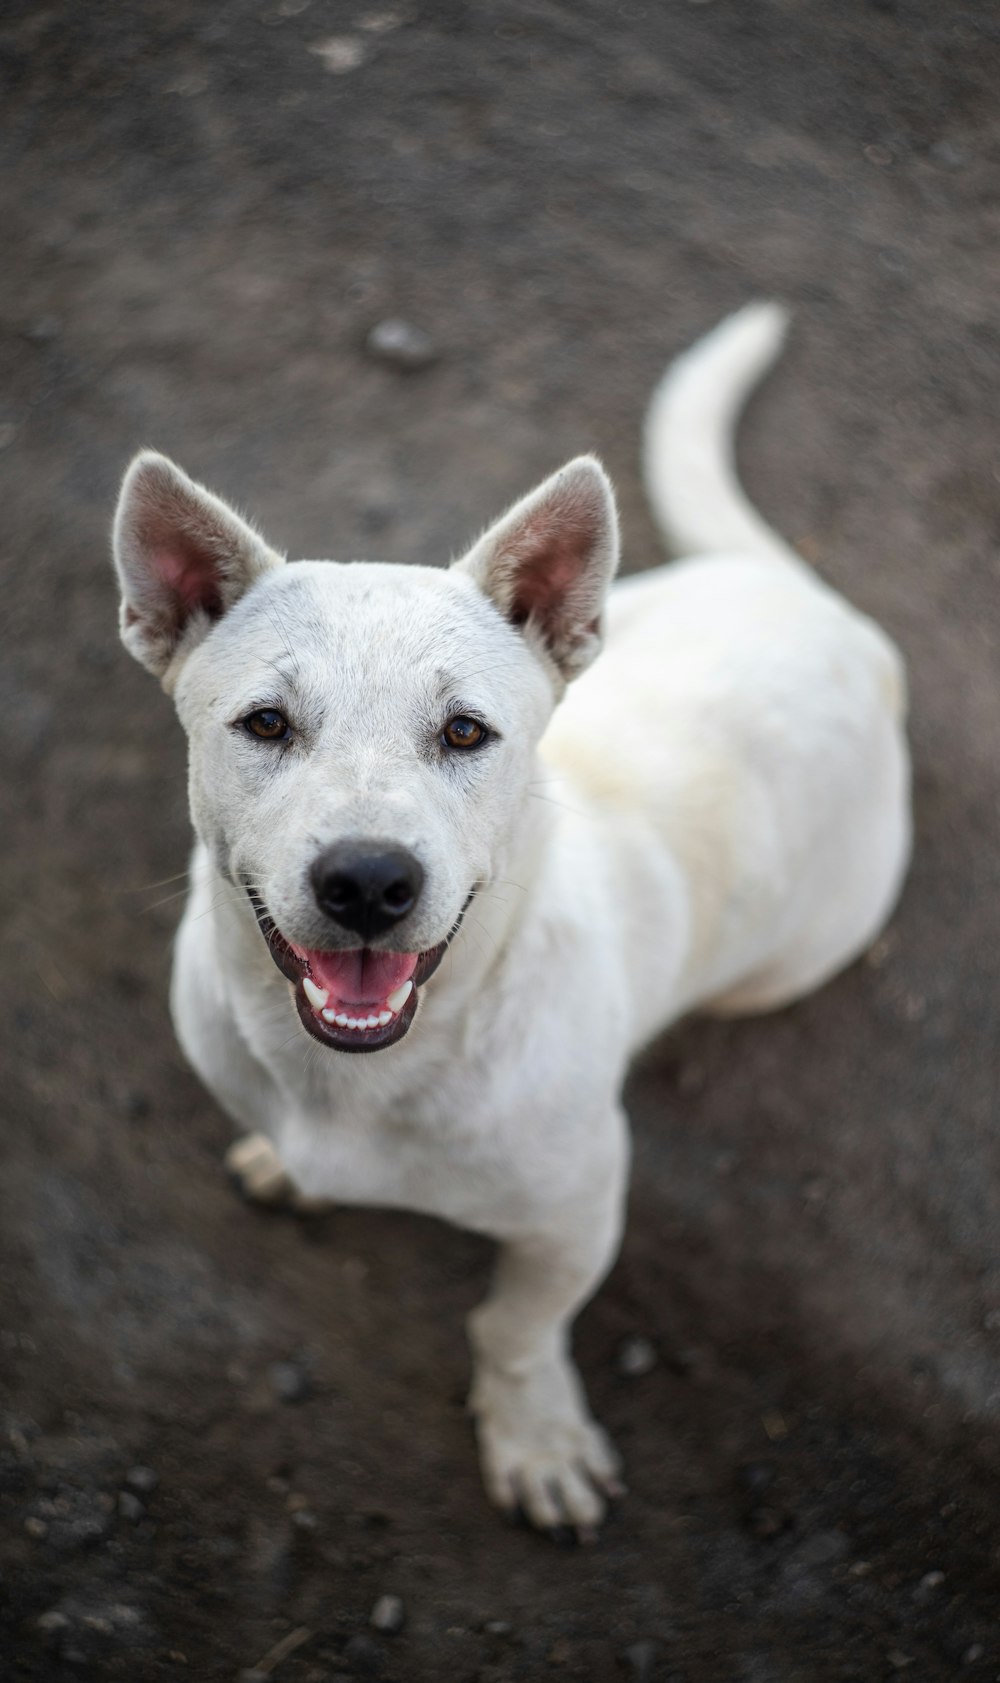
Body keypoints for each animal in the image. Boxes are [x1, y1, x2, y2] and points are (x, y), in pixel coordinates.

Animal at [112, 309, 909, 1541]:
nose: (368, 882)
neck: (367, 1078)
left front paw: (535, 1435)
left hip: (789, 955)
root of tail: (824, 612)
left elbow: (516, 1328)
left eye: (465, 732)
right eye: (266, 722)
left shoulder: (577, 1216)